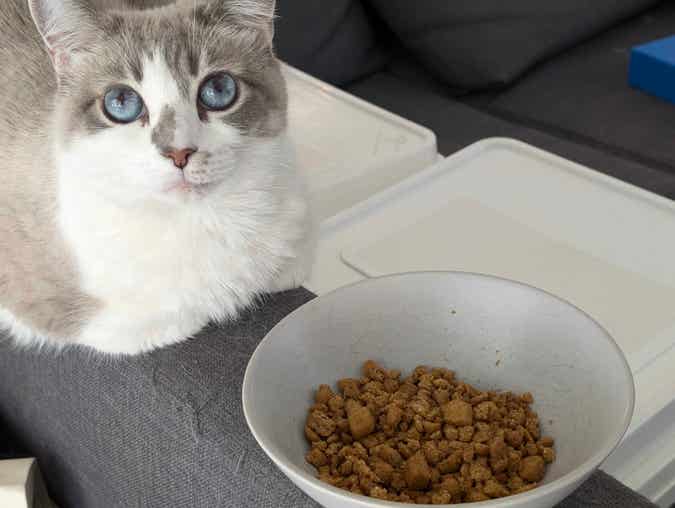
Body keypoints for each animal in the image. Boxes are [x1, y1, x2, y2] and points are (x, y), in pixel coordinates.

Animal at [0, 0, 314, 356]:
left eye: (219, 90)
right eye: (121, 102)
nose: (179, 153)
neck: (202, 219)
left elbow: (289, 264)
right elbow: (168, 317)